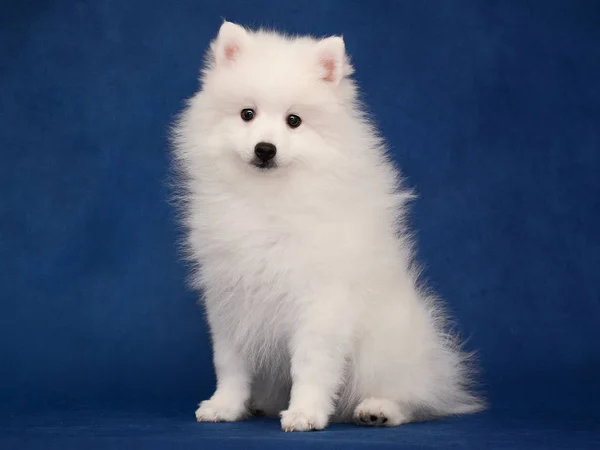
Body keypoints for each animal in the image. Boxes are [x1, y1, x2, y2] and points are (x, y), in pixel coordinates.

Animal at [172, 22, 482, 432]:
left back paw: (378, 410)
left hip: (387, 346)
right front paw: (225, 406)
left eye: (294, 121)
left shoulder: (320, 300)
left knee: (407, 393)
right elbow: (230, 363)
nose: (265, 148)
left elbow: (311, 365)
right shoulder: (229, 297)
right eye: (247, 114)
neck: (268, 199)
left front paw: (305, 413)